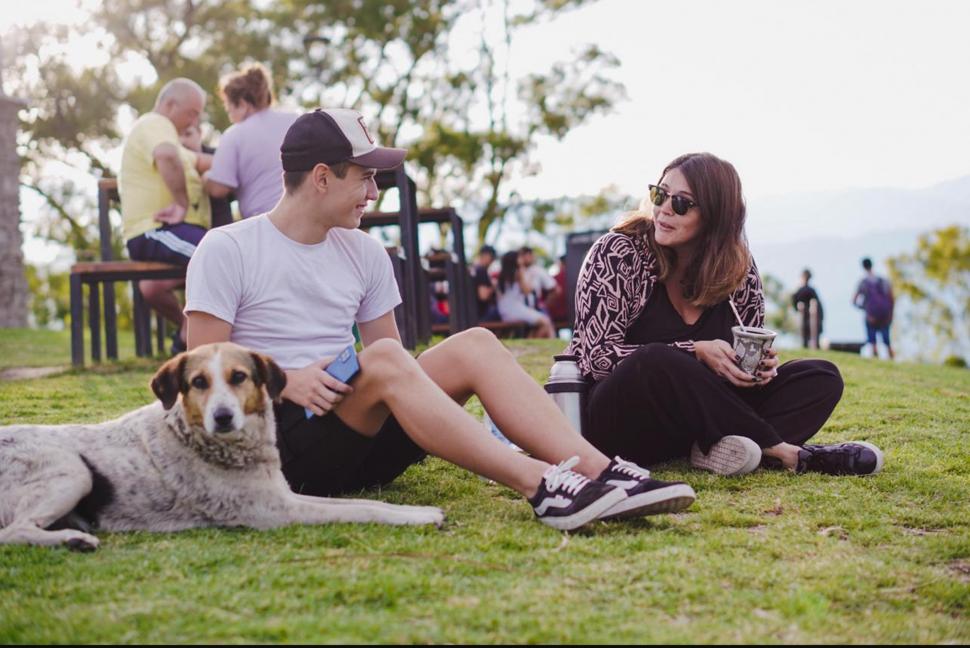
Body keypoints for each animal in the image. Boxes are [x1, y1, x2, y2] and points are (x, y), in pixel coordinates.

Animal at [0, 342, 444, 548]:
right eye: (198, 383)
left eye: (239, 377)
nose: (223, 416)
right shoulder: (278, 511)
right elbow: (364, 510)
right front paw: (420, 518)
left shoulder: (284, 494)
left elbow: (366, 501)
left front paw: (418, 512)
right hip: (72, 471)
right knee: (13, 531)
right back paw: (72, 541)